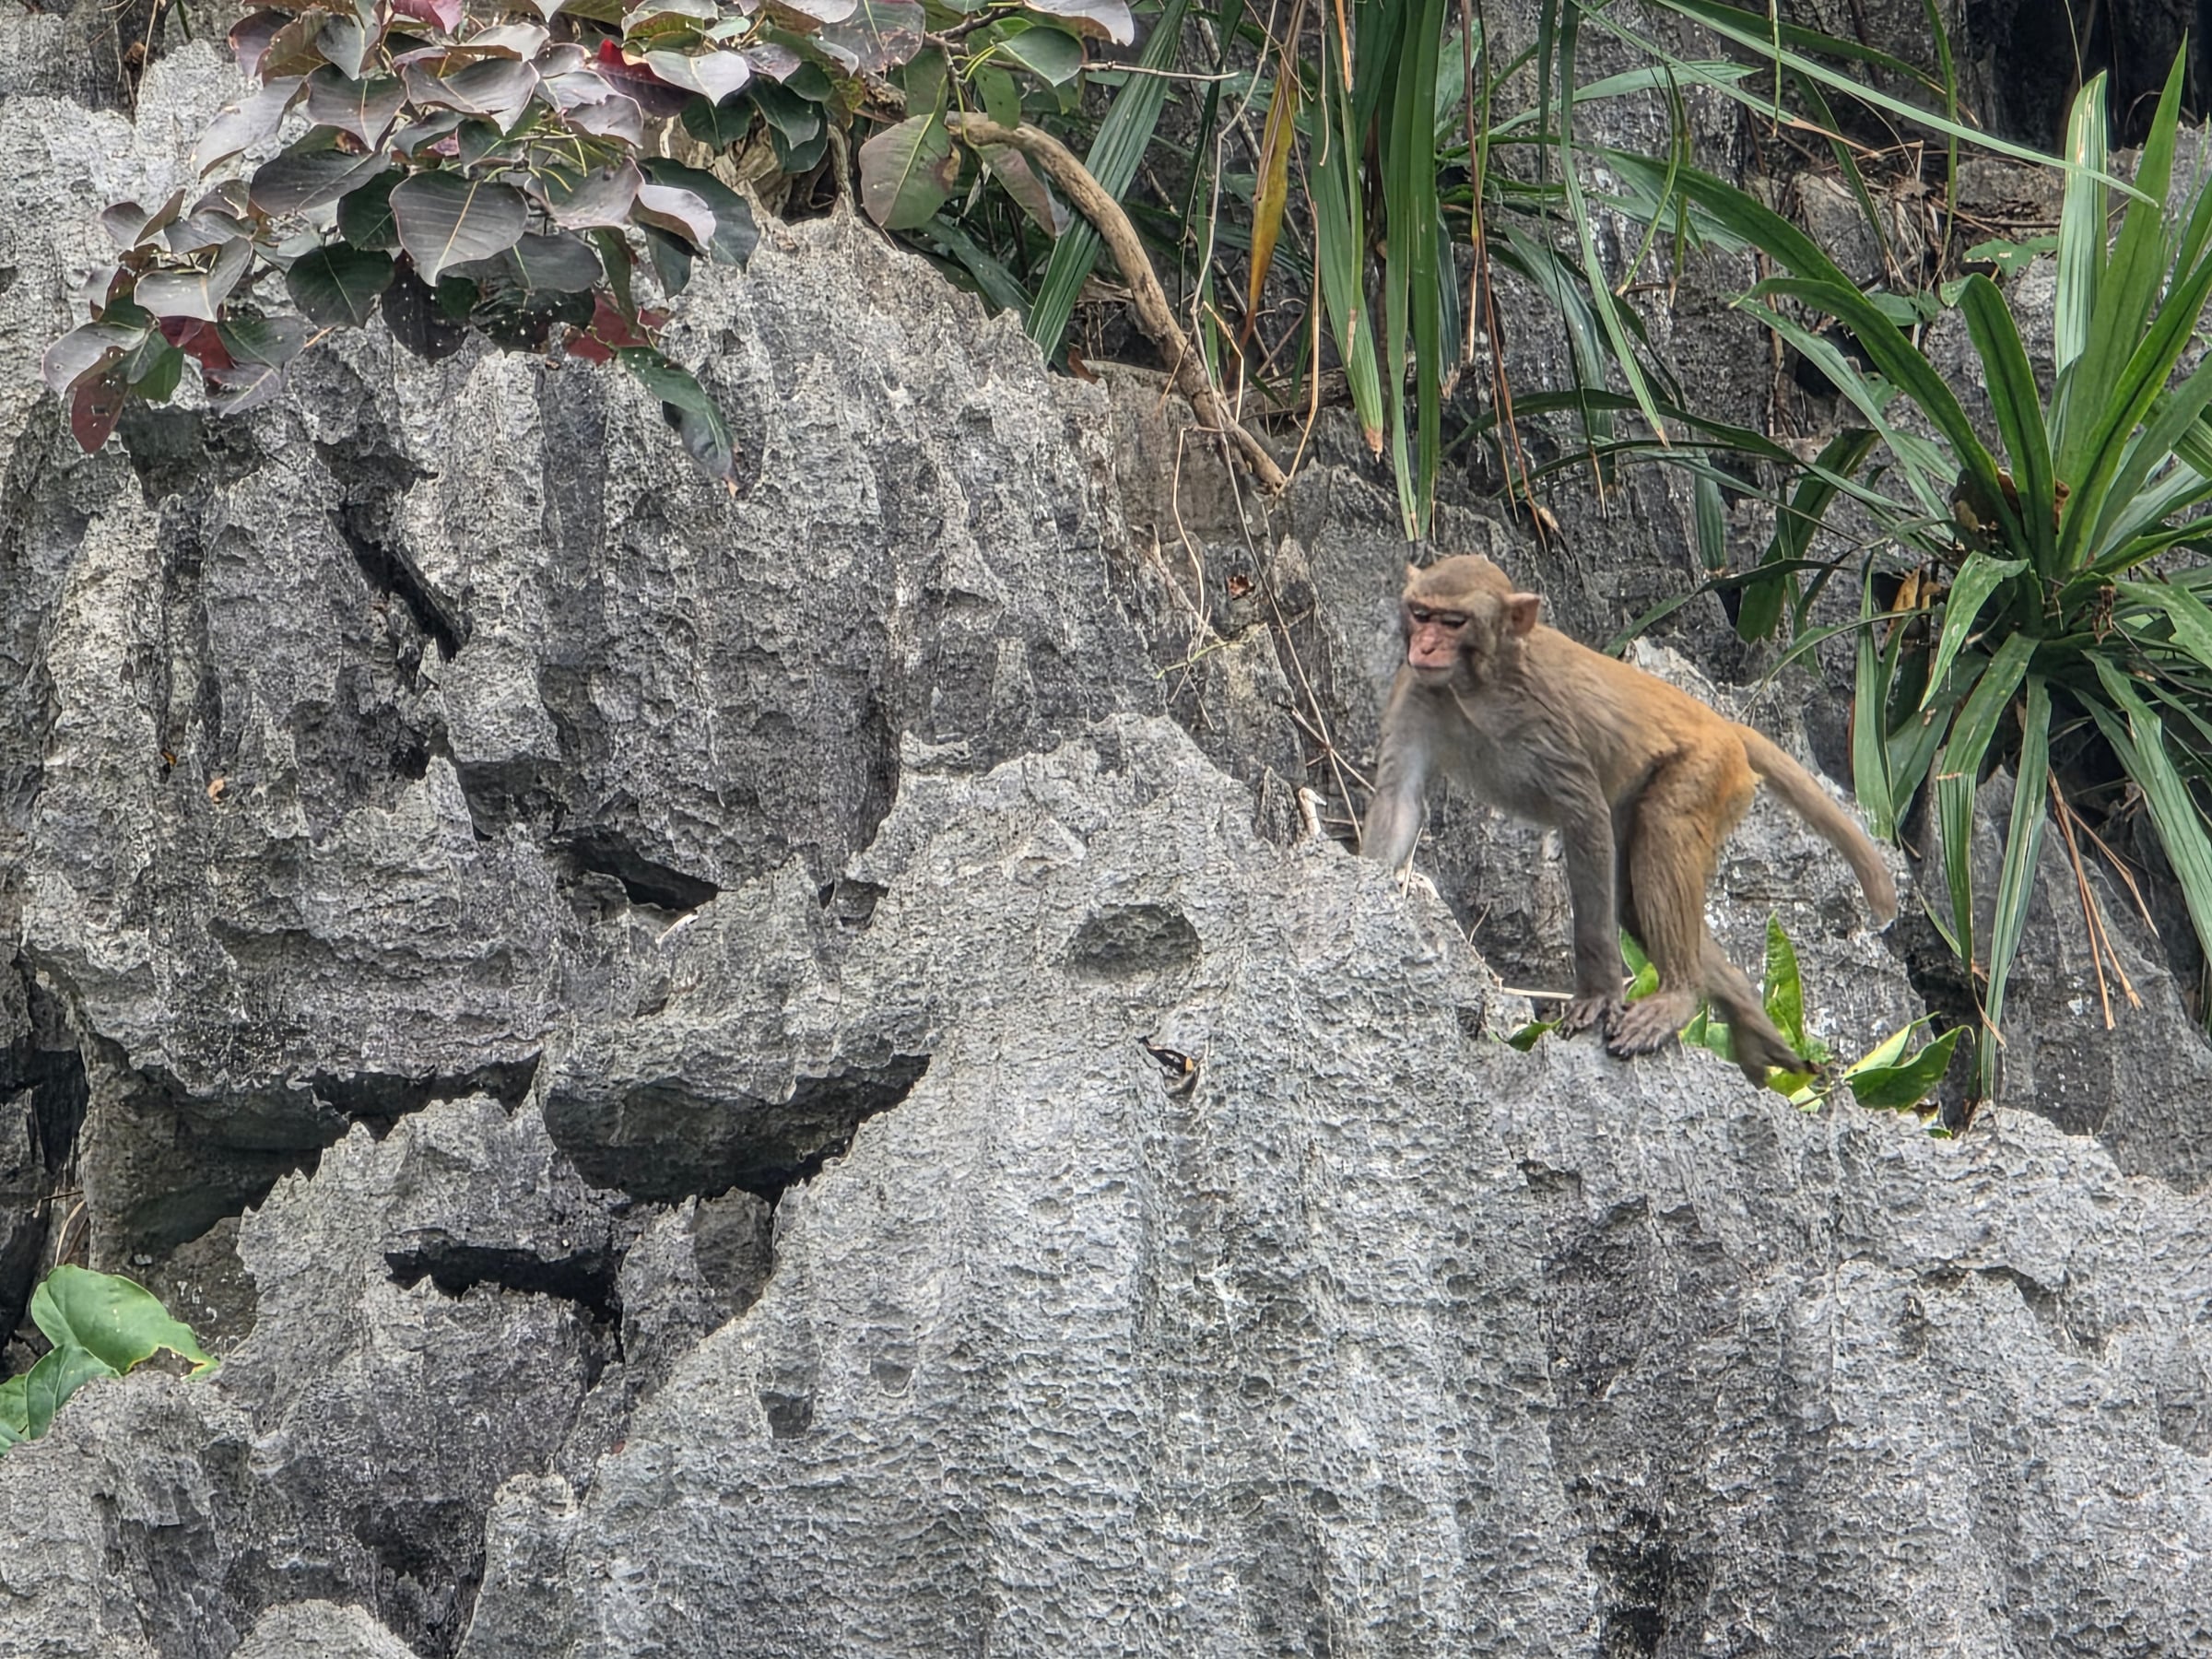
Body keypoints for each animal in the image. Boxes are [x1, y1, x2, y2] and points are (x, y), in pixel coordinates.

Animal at [1362, 554, 1898, 1083]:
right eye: (1422, 614)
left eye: (1454, 622)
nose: (1426, 645)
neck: (1478, 684)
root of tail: (1722, 723)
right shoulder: (1414, 688)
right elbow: (1399, 801)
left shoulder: (1544, 716)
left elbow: (1584, 817)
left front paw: (1598, 995)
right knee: (1633, 902)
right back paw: (1748, 1018)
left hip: (1706, 770)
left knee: (1664, 832)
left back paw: (1680, 996)